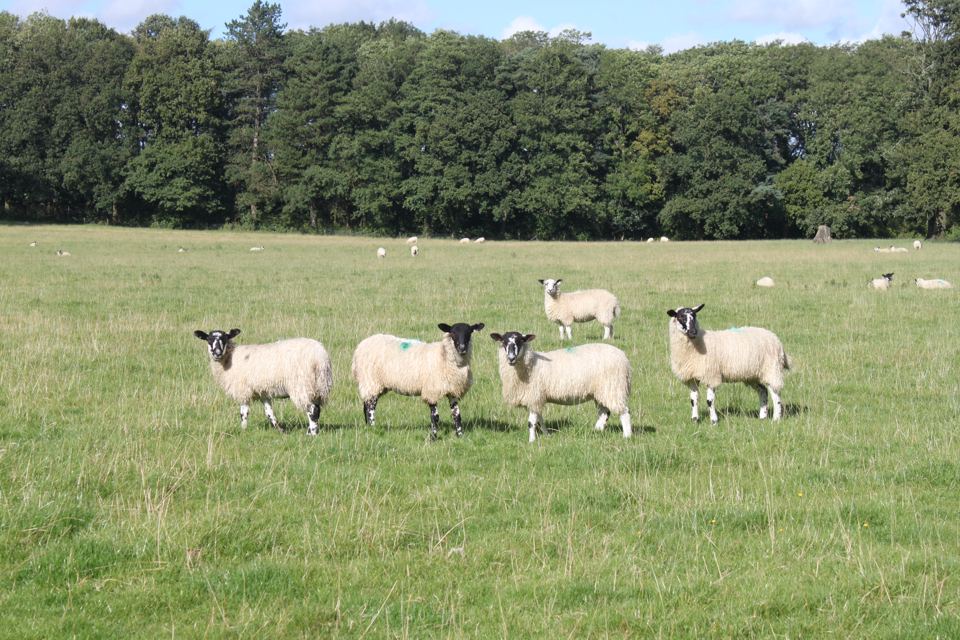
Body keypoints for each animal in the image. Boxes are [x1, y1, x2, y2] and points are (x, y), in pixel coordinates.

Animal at [193, 329, 333, 435]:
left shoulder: (243, 390)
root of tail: (320, 357)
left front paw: (243, 430)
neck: (229, 358)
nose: (217, 353)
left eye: (225, 338)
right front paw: (281, 430)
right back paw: (312, 430)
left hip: (301, 385)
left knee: (312, 410)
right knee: (317, 409)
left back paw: (312, 434)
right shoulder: (263, 392)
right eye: (209, 340)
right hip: (318, 386)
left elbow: (244, 412)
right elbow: (269, 413)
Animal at [351, 322, 485, 440]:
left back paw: (368, 427)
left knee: (366, 405)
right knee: (370, 408)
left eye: (469, 332)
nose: (462, 348)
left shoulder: (452, 390)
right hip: (370, 381)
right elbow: (435, 417)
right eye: (452, 333)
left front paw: (460, 435)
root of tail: (360, 346)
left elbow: (457, 415)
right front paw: (433, 437)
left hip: (376, 385)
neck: (444, 356)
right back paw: (373, 428)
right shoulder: (432, 390)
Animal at [489, 332, 632, 442]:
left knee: (624, 412)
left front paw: (532, 441)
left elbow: (531, 422)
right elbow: (540, 418)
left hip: (613, 387)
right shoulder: (538, 398)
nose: (511, 358)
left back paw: (627, 436)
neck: (531, 364)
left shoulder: (534, 396)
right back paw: (596, 430)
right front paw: (546, 434)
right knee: (604, 412)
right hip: (601, 391)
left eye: (520, 341)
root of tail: (623, 357)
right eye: (504, 342)